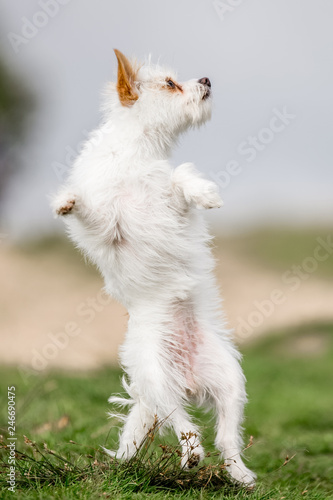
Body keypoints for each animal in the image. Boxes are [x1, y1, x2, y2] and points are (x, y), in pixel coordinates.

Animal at [51, 48, 254, 486]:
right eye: (170, 84)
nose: (206, 79)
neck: (137, 155)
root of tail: (188, 380)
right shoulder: (109, 228)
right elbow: (91, 213)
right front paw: (67, 202)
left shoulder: (174, 207)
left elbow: (180, 178)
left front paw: (205, 192)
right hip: (159, 382)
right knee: (184, 424)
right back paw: (192, 457)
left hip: (229, 381)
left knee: (225, 436)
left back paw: (239, 474)